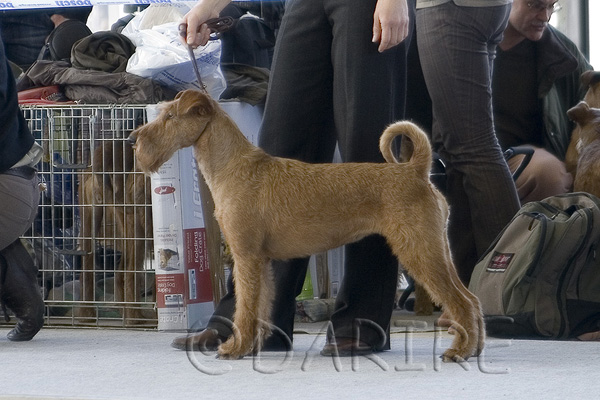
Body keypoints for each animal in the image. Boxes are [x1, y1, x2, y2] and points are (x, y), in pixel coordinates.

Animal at [77, 139, 155, 324]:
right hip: (136, 225)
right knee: (129, 272)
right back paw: (135, 317)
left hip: (91, 218)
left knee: (89, 267)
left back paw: (89, 314)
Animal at [127, 90, 482, 362]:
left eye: (169, 116)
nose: (132, 139)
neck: (233, 166)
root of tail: (416, 170)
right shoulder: (261, 260)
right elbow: (259, 307)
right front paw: (252, 347)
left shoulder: (245, 256)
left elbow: (244, 308)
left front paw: (234, 348)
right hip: (437, 249)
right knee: (472, 299)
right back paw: (474, 348)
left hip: (420, 250)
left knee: (461, 301)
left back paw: (459, 352)